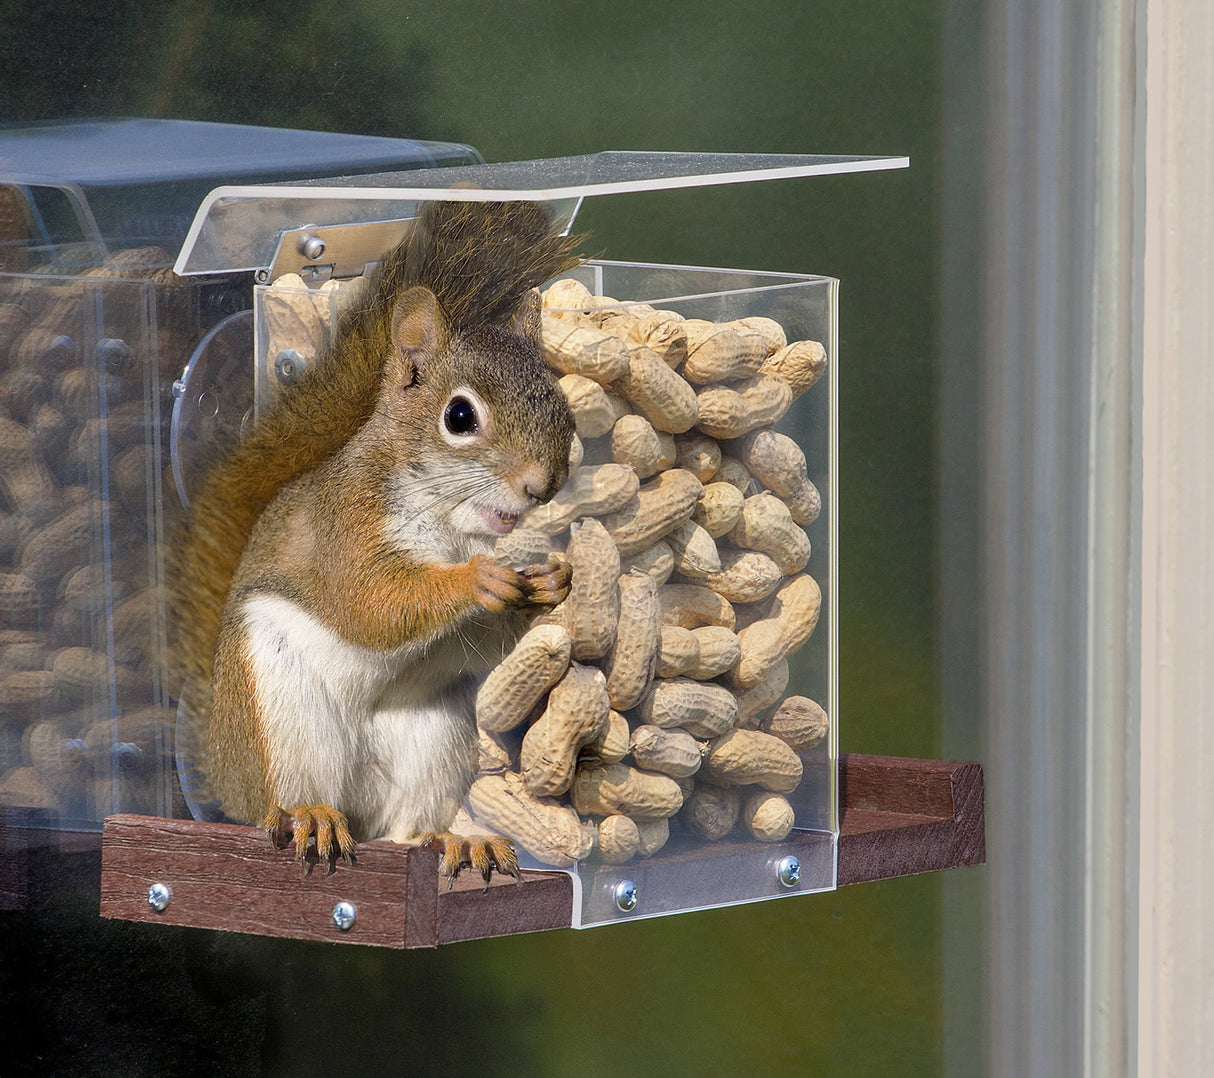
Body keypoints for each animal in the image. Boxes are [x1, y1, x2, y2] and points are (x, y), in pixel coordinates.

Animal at [169, 200, 582, 882]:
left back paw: (451, 841)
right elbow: (371, 604)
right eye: (459, 417)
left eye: (562, 409)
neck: (453, 527)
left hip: (435, 736)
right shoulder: (347, 529)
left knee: (403, 828)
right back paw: (308, 816)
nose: (540, 486)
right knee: (281, 803)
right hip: (279, 709)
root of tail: (226, 774)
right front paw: (474, 581)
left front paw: (552, 582)